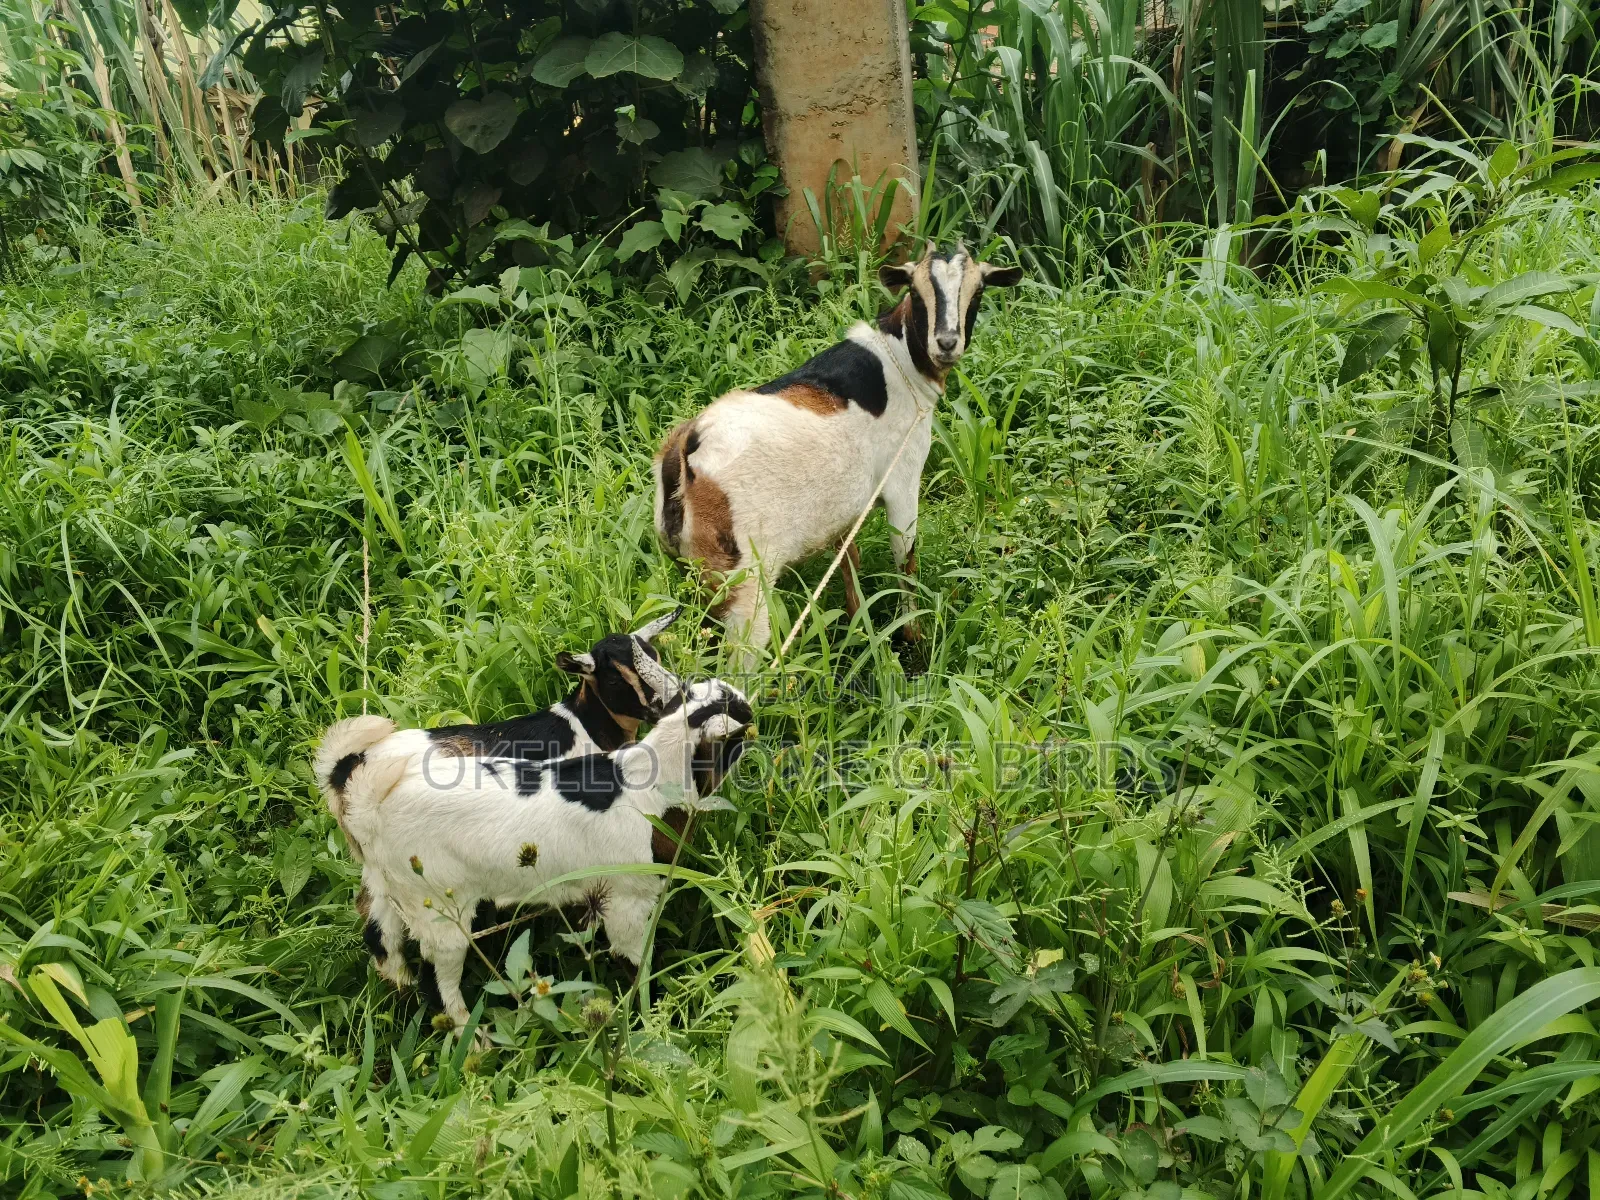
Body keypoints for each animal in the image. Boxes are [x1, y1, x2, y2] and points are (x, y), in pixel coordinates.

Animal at [314, 680, 751, 1028]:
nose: (752, 707)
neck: (650, 782)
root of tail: (366, 795)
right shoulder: (628, 899)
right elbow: (634, 959)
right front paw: (650, 1009)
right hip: (438, 905)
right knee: (437, 979)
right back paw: (474, 1040)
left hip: (390, 885)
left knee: (380, 935)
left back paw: (400, 987)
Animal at [653, 244, 1022, 657]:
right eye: (915, 291)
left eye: (978, 290)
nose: (946, 343)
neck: (899, 362)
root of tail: (685, 451)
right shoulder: (903, 479)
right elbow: (905, 557)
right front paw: (912, 634)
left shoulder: (846, 510)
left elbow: (848, 557)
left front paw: (857, 625)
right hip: (748, 582)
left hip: (692, 572)